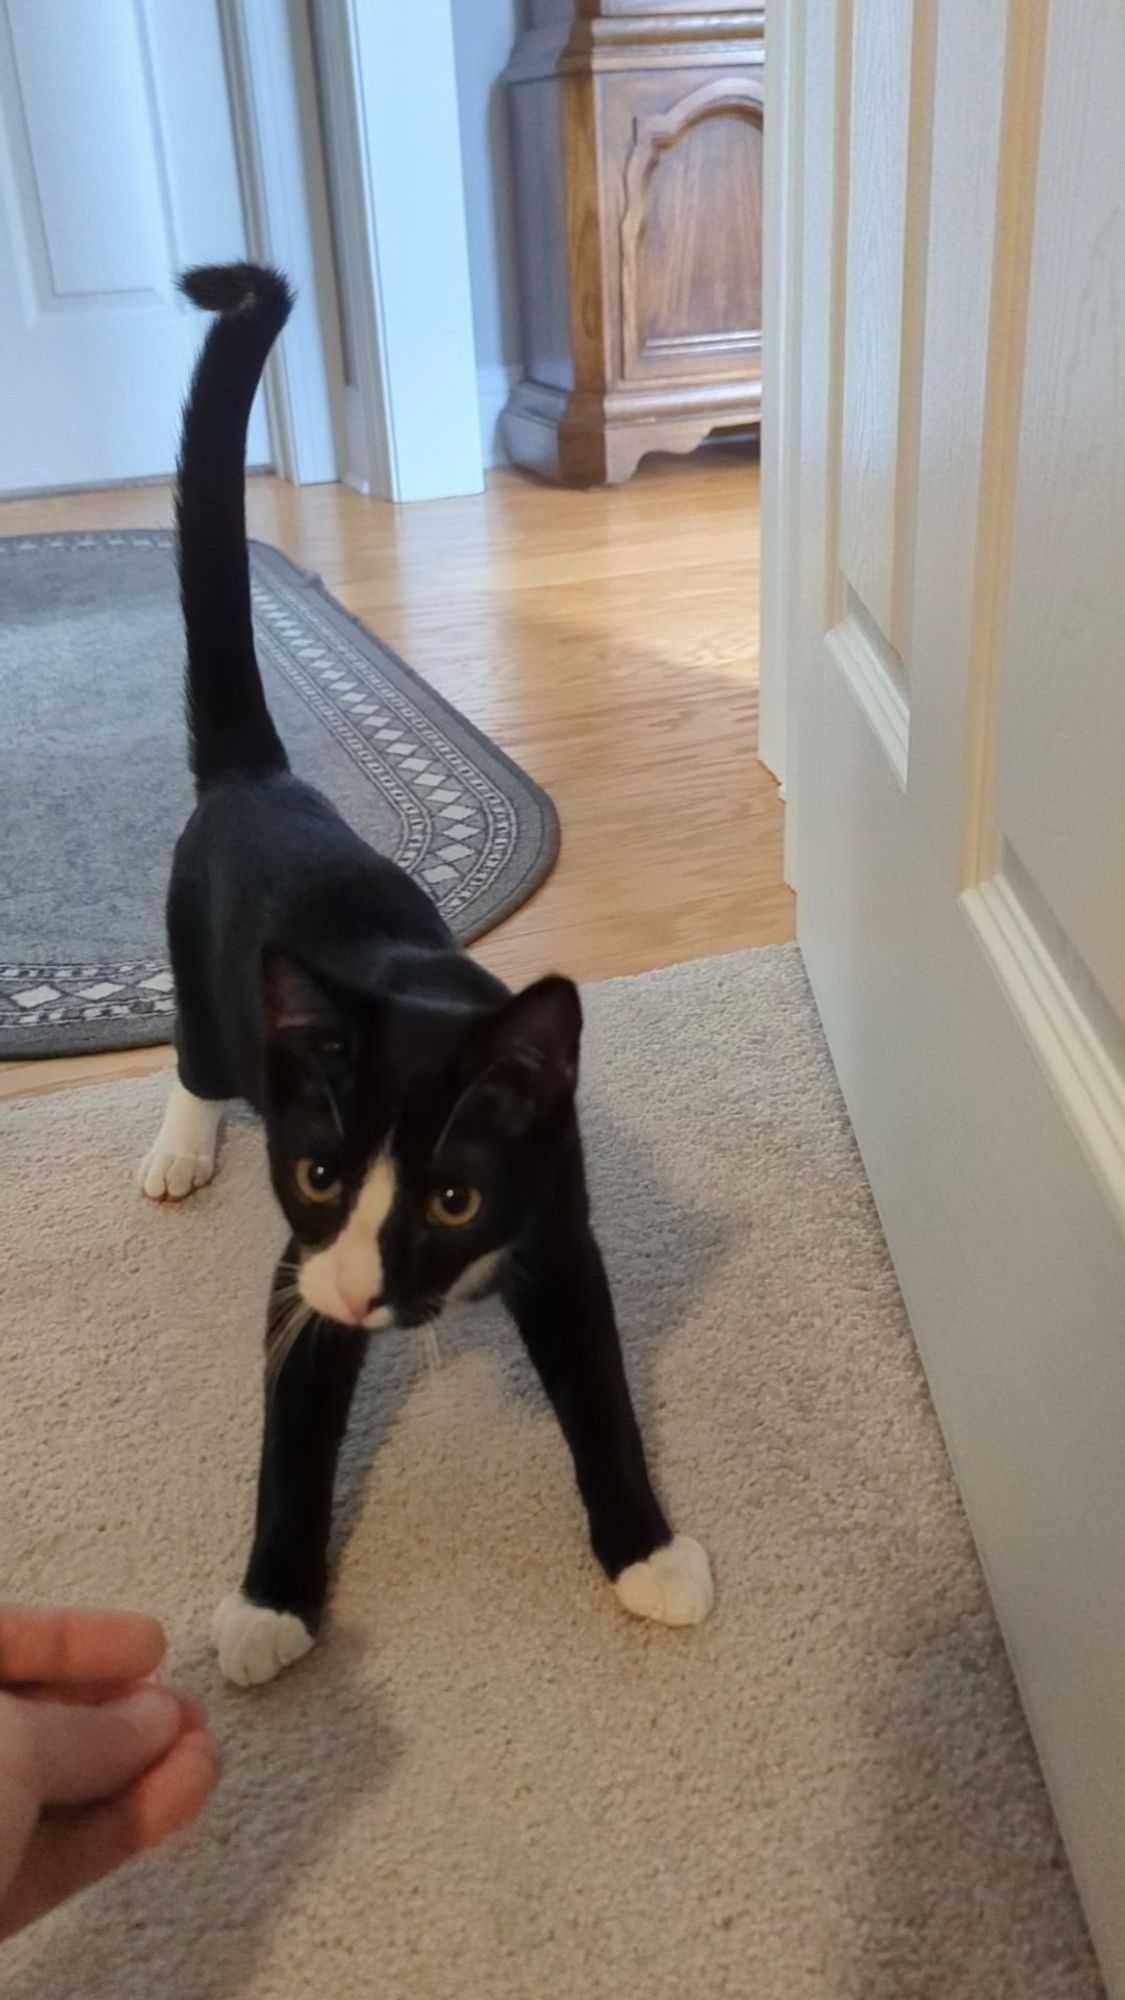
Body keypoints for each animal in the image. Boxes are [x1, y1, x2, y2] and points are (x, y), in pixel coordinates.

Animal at [142, 258, 708, 1680]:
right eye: (319, 1175)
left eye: (453, 1197)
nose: (369, 1287)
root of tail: (261, 777)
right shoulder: (300, 1269)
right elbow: (294, 1428)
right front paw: (270, 1605)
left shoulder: (557, 1228)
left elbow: (601, 1395)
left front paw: (647, 1548)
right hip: (201, 974)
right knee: (197, 1050)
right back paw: (178, 1142)